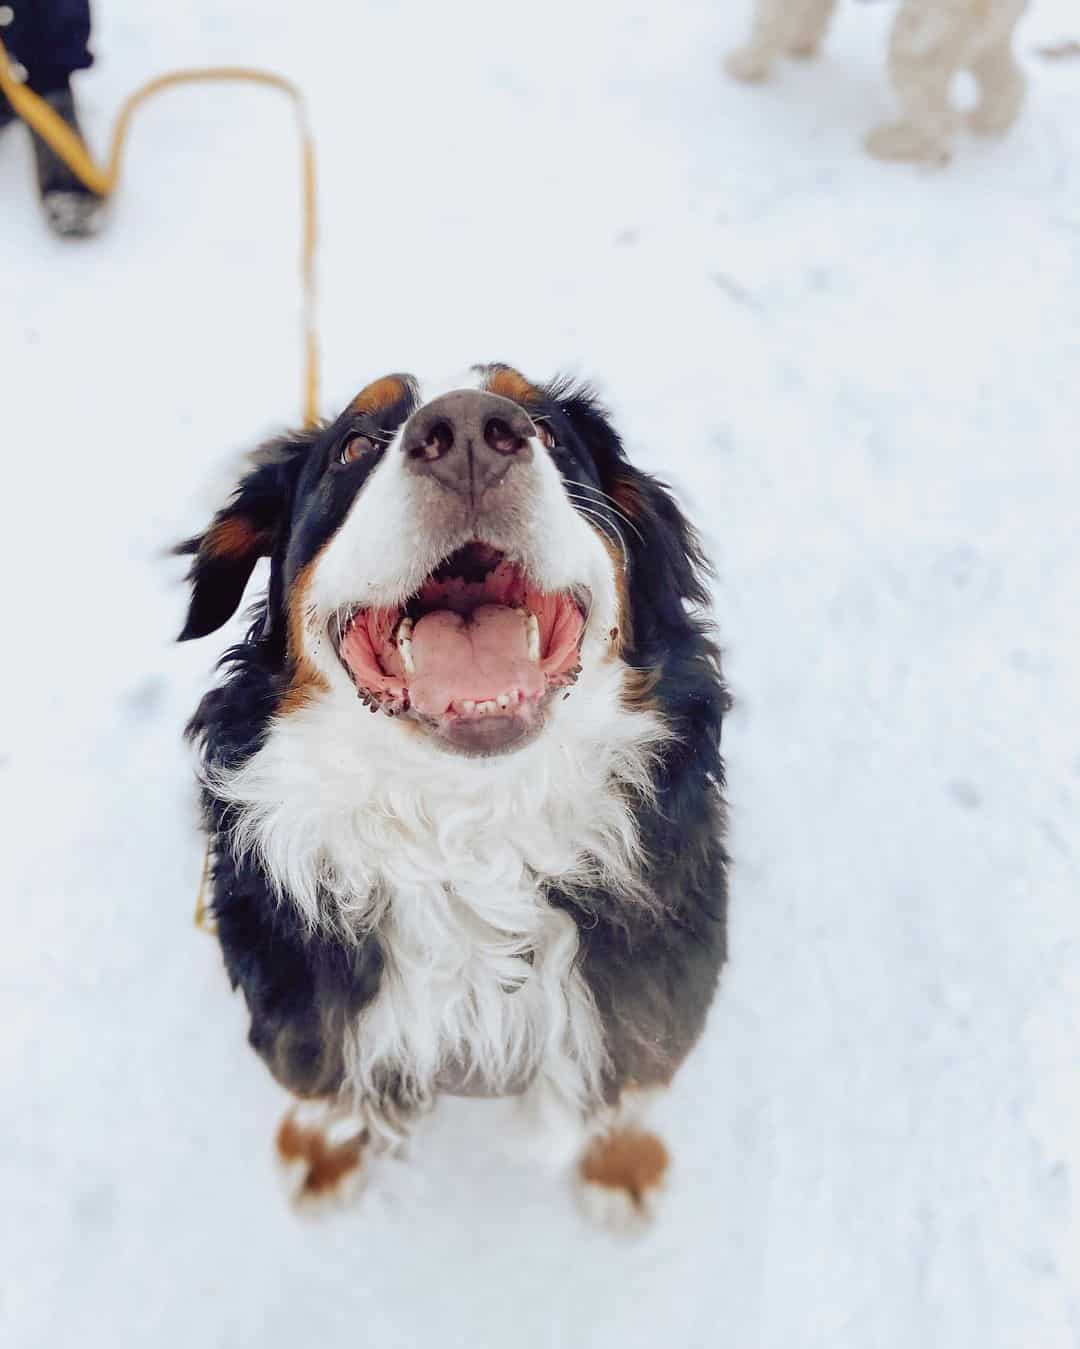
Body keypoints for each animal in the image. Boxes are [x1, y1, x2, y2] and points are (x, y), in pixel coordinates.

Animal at [179, 366, 733, 1224]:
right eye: (355, 445)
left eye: (547, 429)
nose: (471, 433)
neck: (468, 830)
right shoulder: (303, 1006)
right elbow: (325, 1098)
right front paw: (322, 1161)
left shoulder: (650, 991)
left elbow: (626, 1092)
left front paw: (621, 1173)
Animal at [722, 0, 1030, 161]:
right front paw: (800, 45)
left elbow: (769, 20)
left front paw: (745, 65)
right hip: (986, 37)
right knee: (1010, 83)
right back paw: (987, 124)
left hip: (921, 37)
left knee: (939, 117)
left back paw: (889, 143)